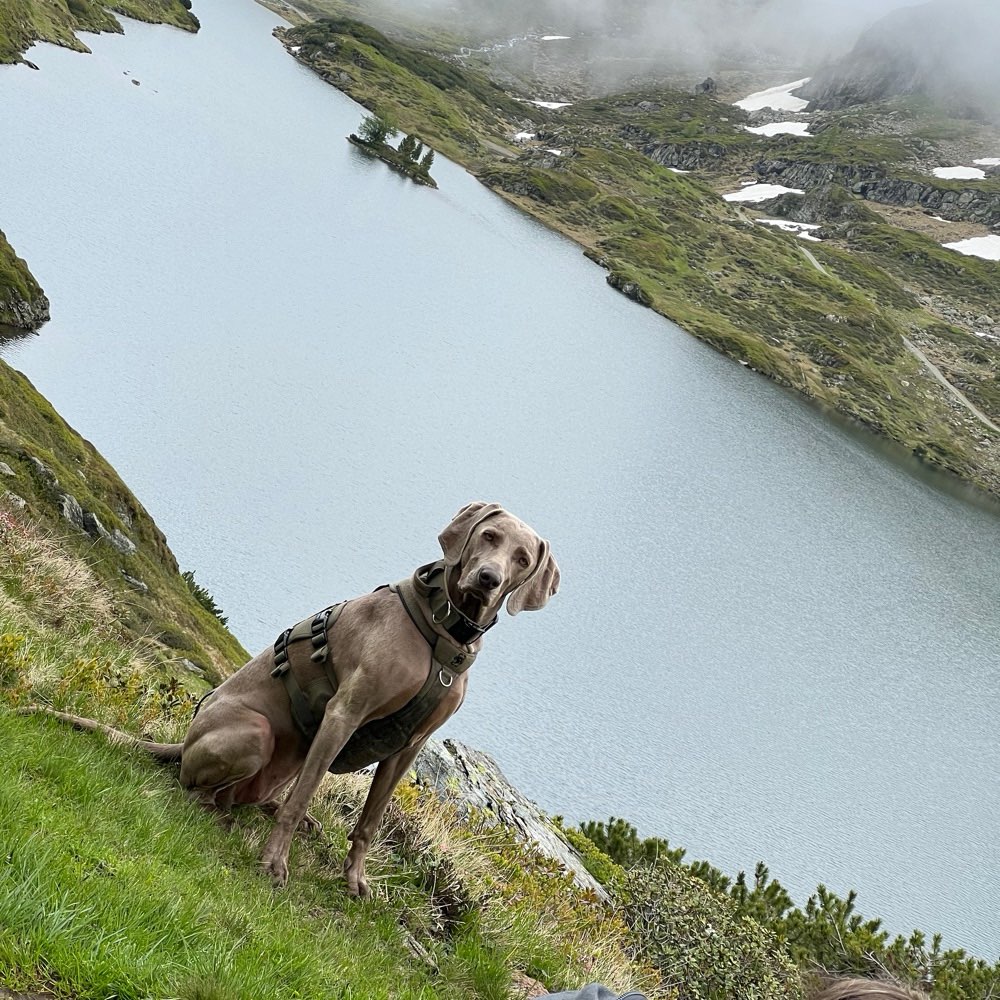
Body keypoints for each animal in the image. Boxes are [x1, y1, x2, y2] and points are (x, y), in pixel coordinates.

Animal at [33, 504, 556, 896]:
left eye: (522, 558)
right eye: (488, 535)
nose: (488, 579)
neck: (441, 634)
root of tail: (184, 742)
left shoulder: (409, 745)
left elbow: (370, 820)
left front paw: (354, 879)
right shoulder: (344, 713)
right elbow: (305, 793)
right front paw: (273, 864)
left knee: (258, 796)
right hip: (257, 732)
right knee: (198, 788)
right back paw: (220, 813)